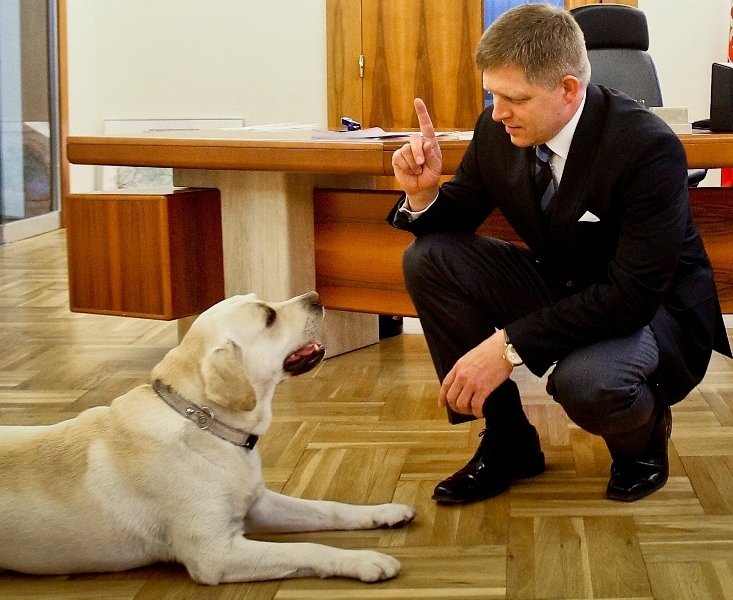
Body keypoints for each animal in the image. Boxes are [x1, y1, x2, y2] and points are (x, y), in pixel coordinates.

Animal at [0, 292, 412, 584]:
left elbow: (329, 508)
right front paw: (365, 560)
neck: (204, 424)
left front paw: (383, 512)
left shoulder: (258, 504)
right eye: (269, 316)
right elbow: (308, 548)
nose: (316, 294)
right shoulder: (217, 554)